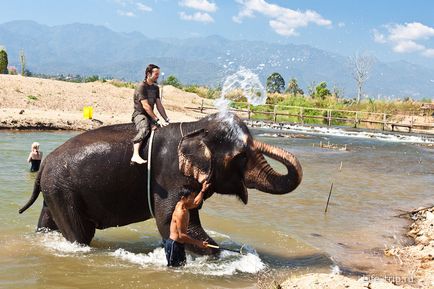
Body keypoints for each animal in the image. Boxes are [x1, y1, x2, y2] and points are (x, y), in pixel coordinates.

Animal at [18, 111, 300, 253]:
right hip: (64, 192)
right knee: (80, 234)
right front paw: (220, 254)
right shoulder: (169, 176)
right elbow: (169, 220)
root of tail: (45, 162)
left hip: (56, 191)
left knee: (47, 222)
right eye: (240, 157)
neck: (197, 126)